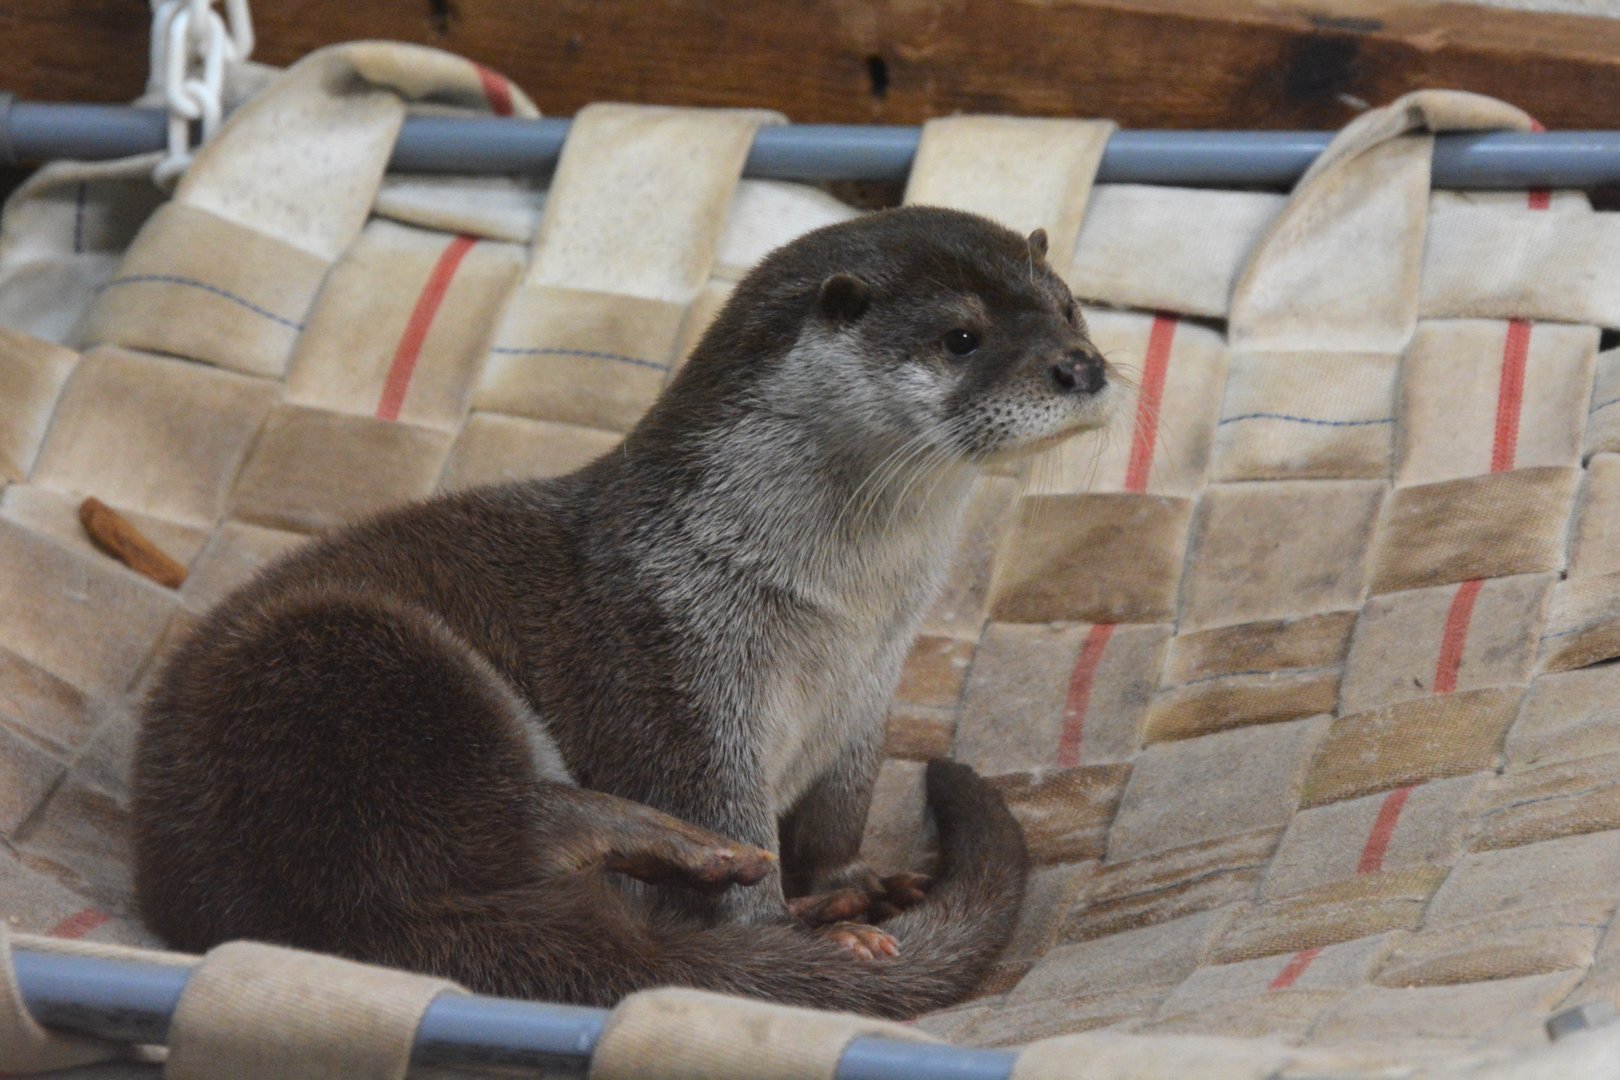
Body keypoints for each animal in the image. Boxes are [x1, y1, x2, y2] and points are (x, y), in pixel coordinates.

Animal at [132, 206, 1112, 1017]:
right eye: (961, 336)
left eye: (1069, 307)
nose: (1082, 366)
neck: (829, 609)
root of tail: (301, 922)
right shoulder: (676, 659)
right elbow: (723, 817)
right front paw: (800, 929)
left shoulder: (869, 692)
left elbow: (837, 814)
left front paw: (853, 882)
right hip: (348, 666)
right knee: (482, 826)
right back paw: (671, 845)